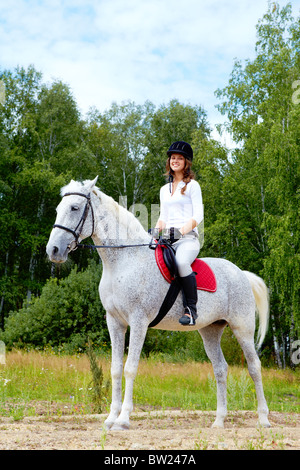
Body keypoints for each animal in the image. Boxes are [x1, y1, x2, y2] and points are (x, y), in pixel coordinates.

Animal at [45, 178, 270, 432]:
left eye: (74, 208)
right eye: (58, 209)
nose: (53, 250)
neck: (123, 261)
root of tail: (241, 273)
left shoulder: (138, 321)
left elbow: (130, 368)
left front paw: (123, 420)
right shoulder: (114, 322)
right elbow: (115, 369)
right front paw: (111, 419)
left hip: (242, 328)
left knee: (254, 367)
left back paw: (263, 419)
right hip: (210, 331)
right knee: (220, 369)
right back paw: (219, 421)